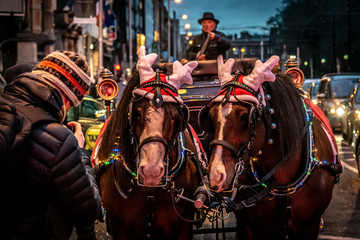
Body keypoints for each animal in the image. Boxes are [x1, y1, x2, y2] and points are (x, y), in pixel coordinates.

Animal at [198, 57, 342, 239]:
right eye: (210, 115)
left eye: (246, 116)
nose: (217, 175)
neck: (284, 180)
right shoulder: (250, 226)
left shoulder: (311, 224)